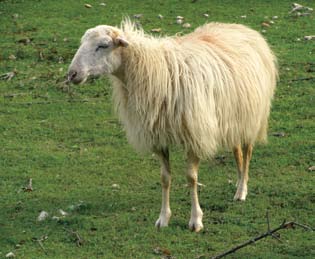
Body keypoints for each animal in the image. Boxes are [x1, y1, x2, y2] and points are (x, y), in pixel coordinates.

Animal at [68, 19, 278, 233]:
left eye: (103, 45)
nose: (72, 73)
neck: (153, 69)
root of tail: (241, 27)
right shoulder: (159, 138)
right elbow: (165, 178)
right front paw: (163, 218)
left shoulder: (194, 134)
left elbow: (191, 178)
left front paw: (196, 220)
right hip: (231, 118)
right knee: (237, 151)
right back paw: (237, 182)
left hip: (251, 117)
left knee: (247, 151)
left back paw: (242, 190)